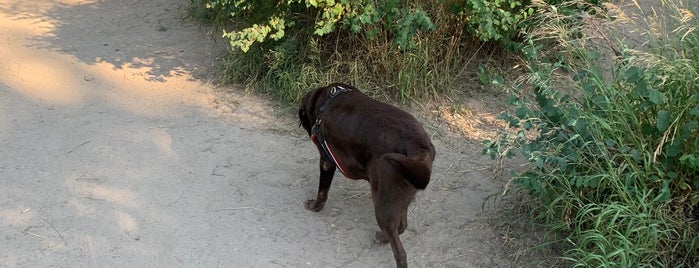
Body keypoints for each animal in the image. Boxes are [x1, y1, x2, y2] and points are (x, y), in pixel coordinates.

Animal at [298, 82, 434, 266]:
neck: (326, 101)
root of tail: (417, 146)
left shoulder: (326, 162)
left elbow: (322, 192)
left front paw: (314, 207)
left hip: (383, 201)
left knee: (400, 251)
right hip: (401, 196)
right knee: (402, 226)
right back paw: (382, 237)